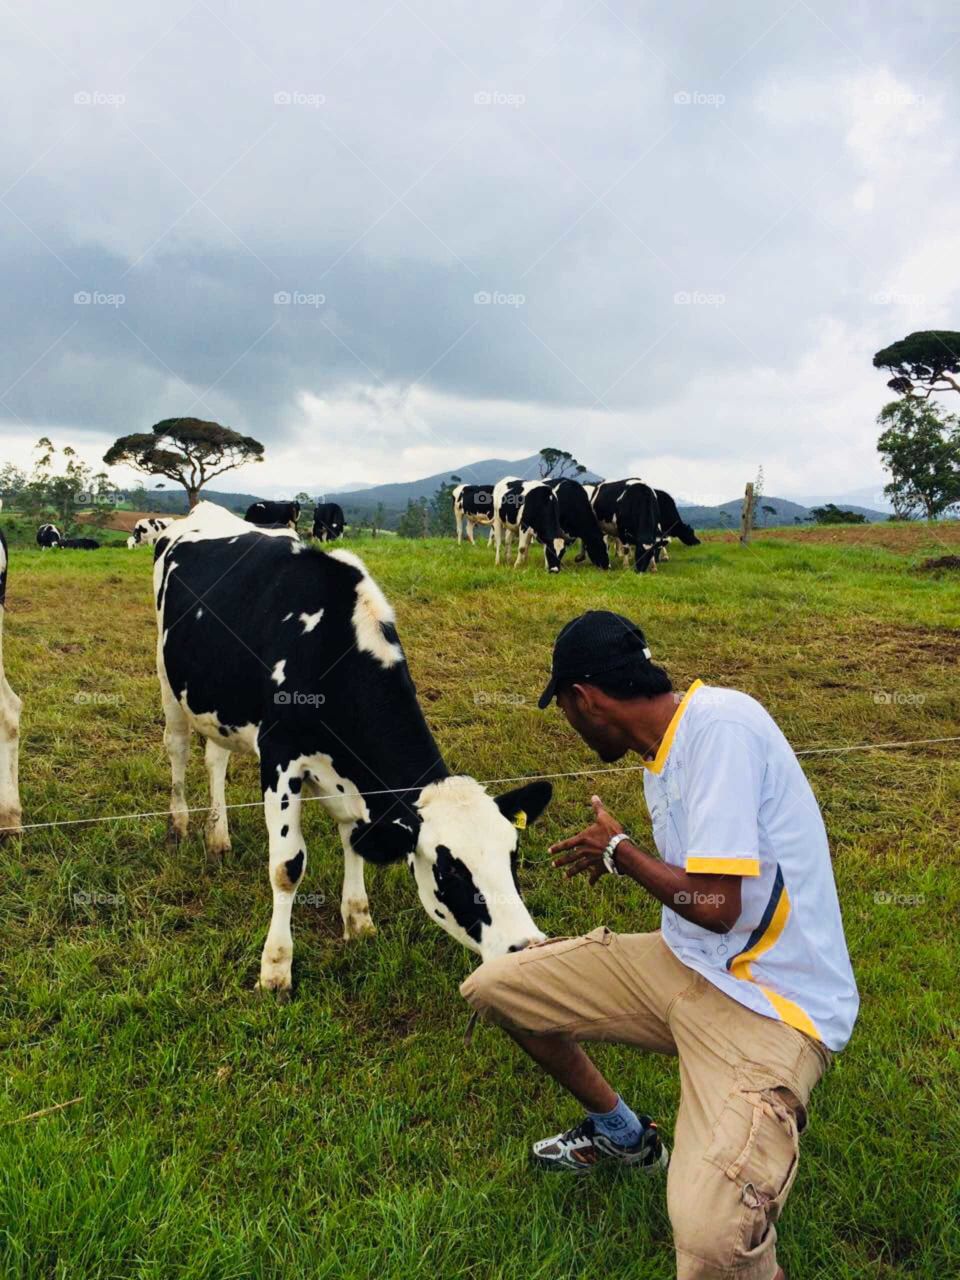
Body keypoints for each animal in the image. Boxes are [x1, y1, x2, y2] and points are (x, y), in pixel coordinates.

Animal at [154, 504, 552, 993]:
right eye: (450, 871)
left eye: (514, 855)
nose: (528, 948)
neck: (329, 646)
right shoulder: (280, 757)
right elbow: (287, 867)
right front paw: (275, 968)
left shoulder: (346, 775)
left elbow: (354, 840)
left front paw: (358, 922)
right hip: (168, 677)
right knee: (177, 748)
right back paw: (180, 824)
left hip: (218, 700)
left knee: (215, 758)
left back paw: (218, 836)